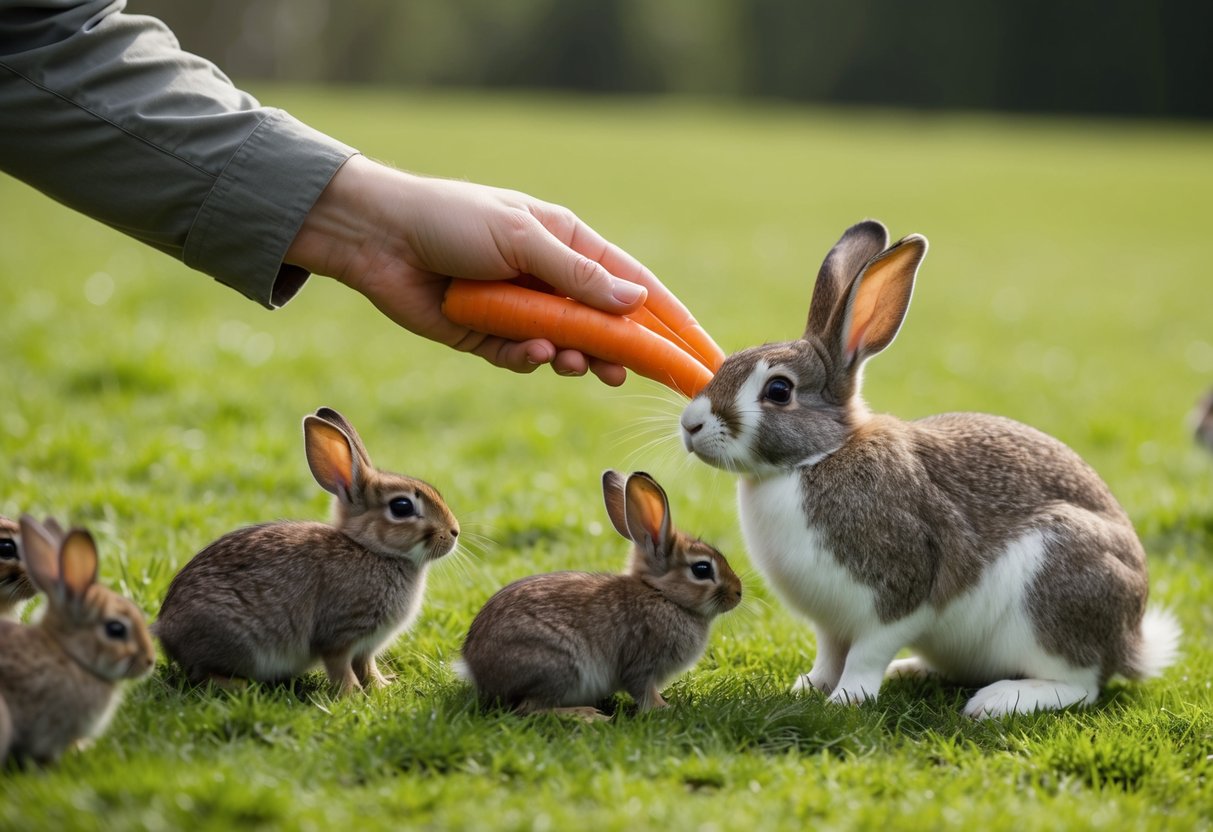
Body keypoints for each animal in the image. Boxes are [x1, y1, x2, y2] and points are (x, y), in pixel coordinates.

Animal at [153, 407, 460, 696]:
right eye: (402, 507)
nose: (454, 532)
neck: (372, 550)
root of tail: (165, 631)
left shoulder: (366, 647)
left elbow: (366, 666)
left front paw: (381, 687)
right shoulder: (338, 634)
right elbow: (341, 666)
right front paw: (352, 696)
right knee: (201, 674)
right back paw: (242, 686)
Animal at [458, 470, 742, 718]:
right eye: (702, 569)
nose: (738, 593)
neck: (661, 593)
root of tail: (473, 668)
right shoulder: (641, 664)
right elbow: (644, 691)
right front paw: (664, 708)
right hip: (559, 665)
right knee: (529, 709)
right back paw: (588, 715)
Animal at [679, 219, 1181, 719]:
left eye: (779, 390)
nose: (691, 424)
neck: (819, 457)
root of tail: (1129, 641)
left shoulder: (899, 593)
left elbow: (865, 655)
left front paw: (846, 699)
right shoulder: (831, 621)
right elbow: (830, 654)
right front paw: (809, 687)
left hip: (1055, 589)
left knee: (1080, 684)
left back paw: (997, 701)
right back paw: (911, 670)